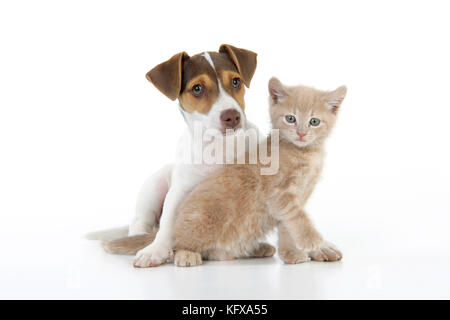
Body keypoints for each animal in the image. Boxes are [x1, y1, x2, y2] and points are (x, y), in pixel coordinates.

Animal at [87, 43, 260, 266]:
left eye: (236, 81)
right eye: (197, 88)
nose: (233, 116)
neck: (219, 146)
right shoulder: (180, 190)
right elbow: (169, 221)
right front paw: (157, 249)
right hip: (154, 187)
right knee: (140, 221)